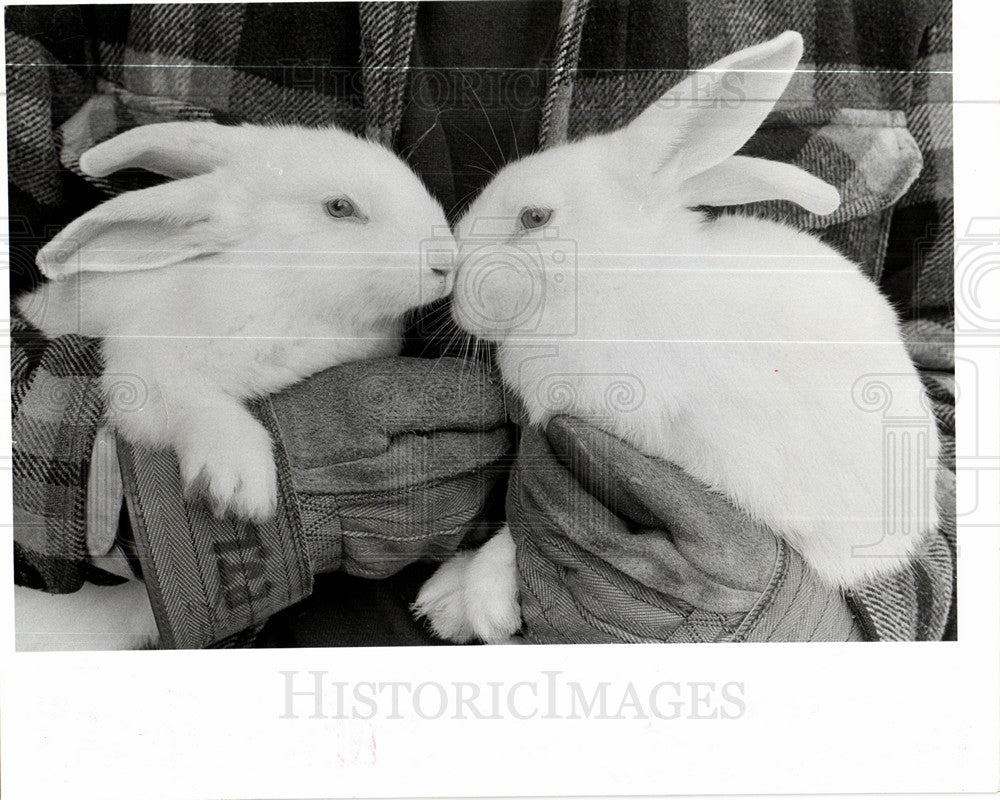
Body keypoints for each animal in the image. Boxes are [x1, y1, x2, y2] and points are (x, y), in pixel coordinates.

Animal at [19, 120, 454, 520]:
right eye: (340, 207)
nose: (446, 264)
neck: (277, 284)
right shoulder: (145, 367)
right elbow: (197, 402)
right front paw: (238, 485)